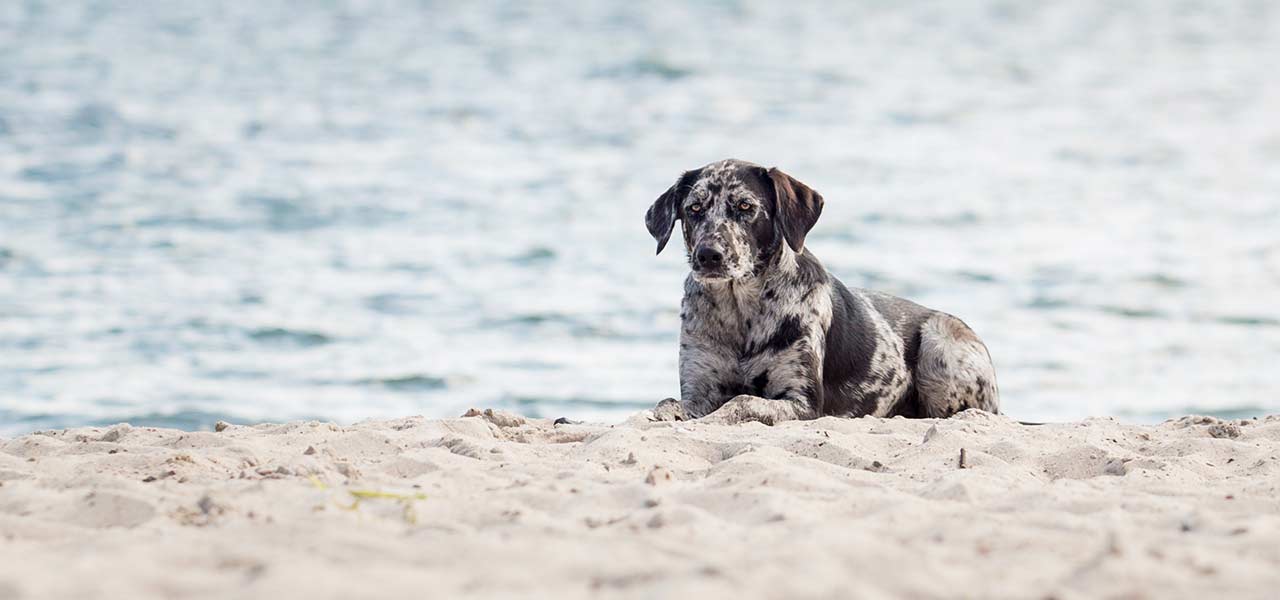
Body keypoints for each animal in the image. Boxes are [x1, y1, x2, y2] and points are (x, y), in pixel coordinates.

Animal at [645, 156, 993, 422]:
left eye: (745, 206)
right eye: (694, 208)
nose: (708, 255)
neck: (740, 311)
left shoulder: (803, 401)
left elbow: (741, 401)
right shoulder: (699, 388)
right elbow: (668, 403)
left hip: (940, 343)